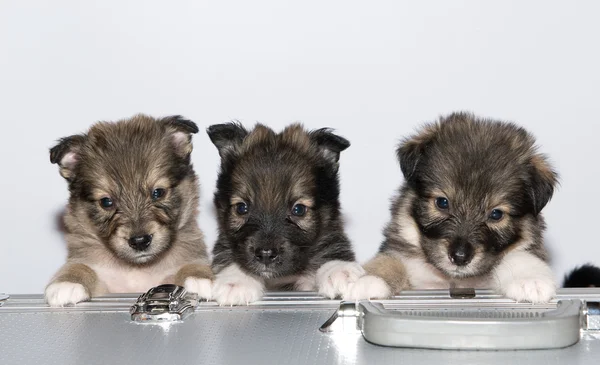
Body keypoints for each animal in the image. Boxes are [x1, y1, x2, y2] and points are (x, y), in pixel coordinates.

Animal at [45, 114, 213, 308]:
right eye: (106, 202)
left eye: (158, 192)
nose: (140, 241)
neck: (136, 268)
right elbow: (79, 265)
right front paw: (67, 282)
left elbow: (191, 264)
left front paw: (199, 277)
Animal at [352, 112, 556, 302]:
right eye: (442, 202)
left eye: (496, 214)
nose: (459, 257)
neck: (454, 280)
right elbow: (390, 260)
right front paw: (371, 279)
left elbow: (519, 256)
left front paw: (530, 280)